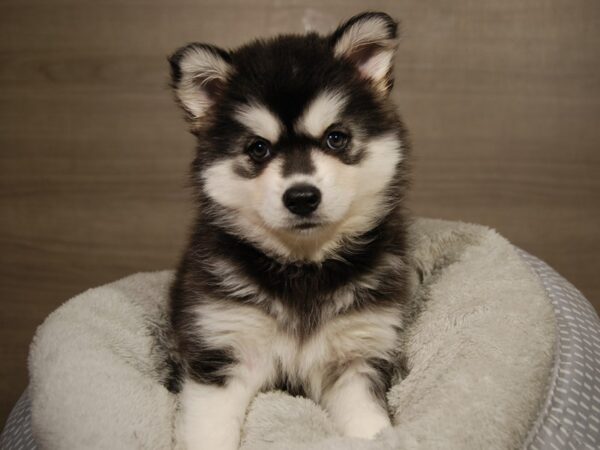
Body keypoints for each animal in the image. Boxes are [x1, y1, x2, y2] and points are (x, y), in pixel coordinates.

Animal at [168, 12, 412, 450]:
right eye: (258, 148)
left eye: (336, 137)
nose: (301, 197)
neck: (303, 267)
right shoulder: (222, 348)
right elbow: (208, 429)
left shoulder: (357, 356)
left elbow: (369, 426)